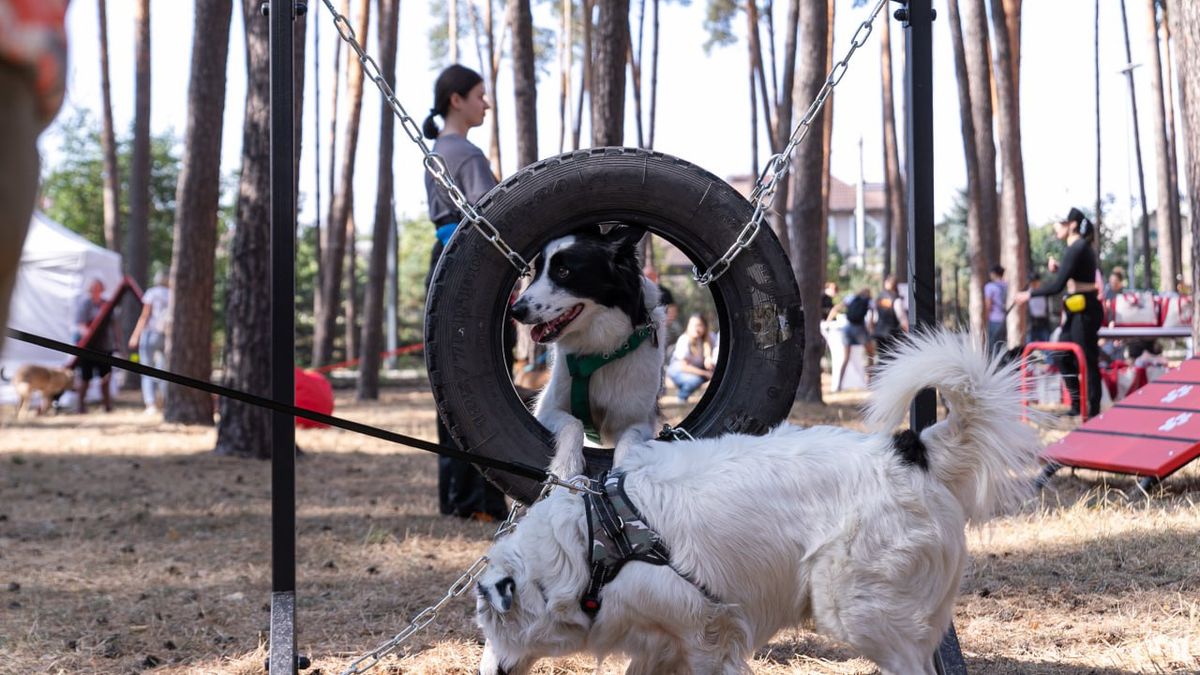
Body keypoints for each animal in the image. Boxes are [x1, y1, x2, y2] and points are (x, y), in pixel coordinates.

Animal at [475, 331, 1041, 672]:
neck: (593, 543)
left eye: (488, 625)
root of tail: (912, 449)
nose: (486, 671)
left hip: (858, 610)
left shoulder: (705, 628)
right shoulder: (659, 641)